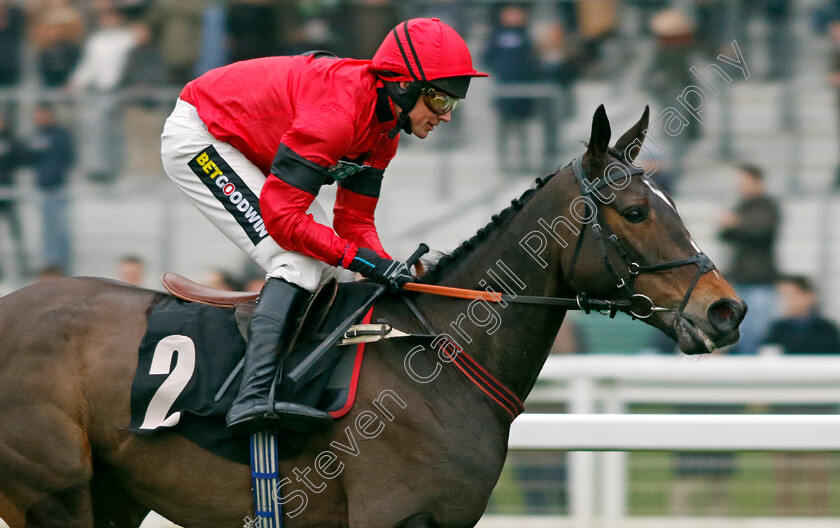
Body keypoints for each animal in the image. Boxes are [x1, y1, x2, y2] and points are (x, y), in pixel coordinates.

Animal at [3, 107, 744, 528]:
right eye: (637, 212)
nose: (726, 309)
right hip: (53, 493)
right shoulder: (390, 516)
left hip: (115, 496)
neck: (436, 353)